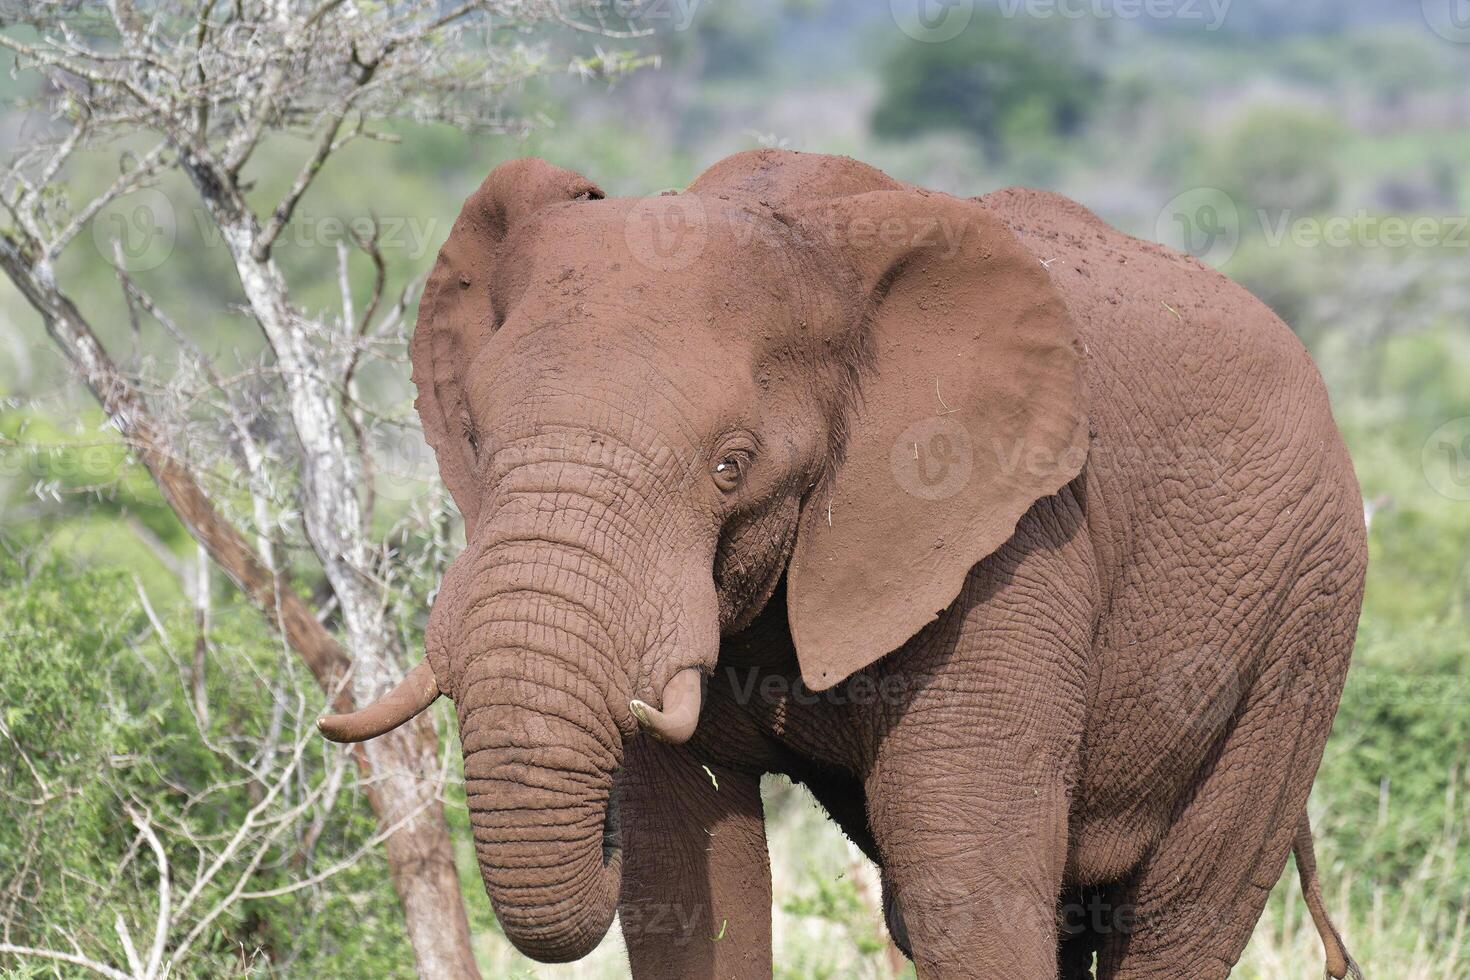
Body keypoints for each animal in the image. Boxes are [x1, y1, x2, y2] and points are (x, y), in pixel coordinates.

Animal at [321, 147, 1364, 980]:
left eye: (731, 464)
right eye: (475, 436)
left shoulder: (1011, 546)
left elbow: (963, 890)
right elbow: (684, 882)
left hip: (1301, 619)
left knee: (1182, 912)